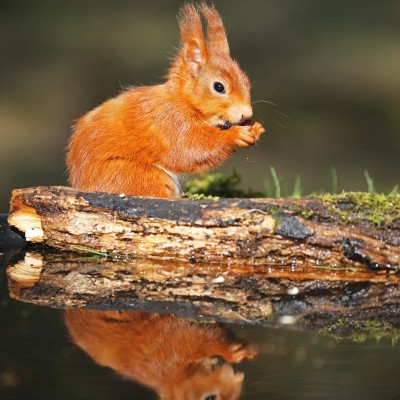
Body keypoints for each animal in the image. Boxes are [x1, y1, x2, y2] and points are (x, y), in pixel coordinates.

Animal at [67, 1, 264, 198]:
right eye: (219, 87)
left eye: (246, 80)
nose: (247, 113)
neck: (181, 100)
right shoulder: (171, 122)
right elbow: (191, 150)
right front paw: (236, 135)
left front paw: (255, 127)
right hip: (136, 177)